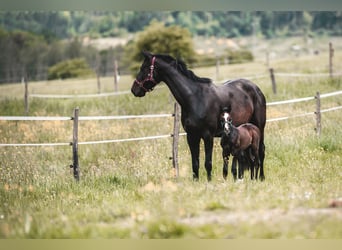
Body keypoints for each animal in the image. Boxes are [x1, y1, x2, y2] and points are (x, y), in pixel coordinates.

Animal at [130, 52, 266, 182]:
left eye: (144, 68)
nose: (134, 90)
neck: (195, 98)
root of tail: (255, 88)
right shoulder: (191, 136)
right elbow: (195, 163)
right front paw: (196, 181)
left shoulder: (208, 136)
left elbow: (208, 163)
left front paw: (209, 182)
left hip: (259, 128)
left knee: (261, 152)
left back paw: (261, 177)